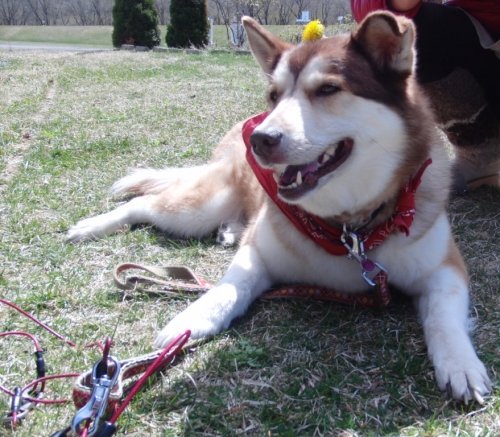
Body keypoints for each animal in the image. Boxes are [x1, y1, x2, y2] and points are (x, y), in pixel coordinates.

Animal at [67, 12, 492, 402]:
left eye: (327, 89)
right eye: (275, 95)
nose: (261, 138)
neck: (348, 227)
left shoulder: (444, 268)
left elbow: (444, 318)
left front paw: (460, 363)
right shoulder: (259, 252)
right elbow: (229, 287)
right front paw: (194, 317)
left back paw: (229, 230)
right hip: (198, 208)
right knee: (146, 202)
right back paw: (91, 226)